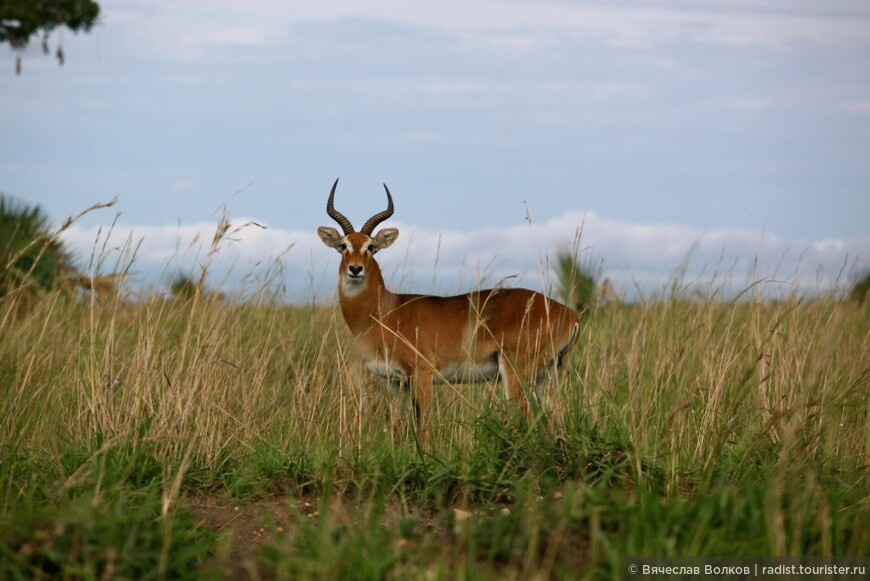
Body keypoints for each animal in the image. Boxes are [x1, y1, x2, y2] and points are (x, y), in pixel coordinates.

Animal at [316, 179, 584, 432]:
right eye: (343, 246)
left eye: (371, 246)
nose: (355, 268)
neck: (386, 313)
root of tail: (571, 315)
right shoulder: (393, 382)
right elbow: (392, 425)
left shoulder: (422, 375)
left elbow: (422, 425)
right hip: (545, 375)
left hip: (517, 372)